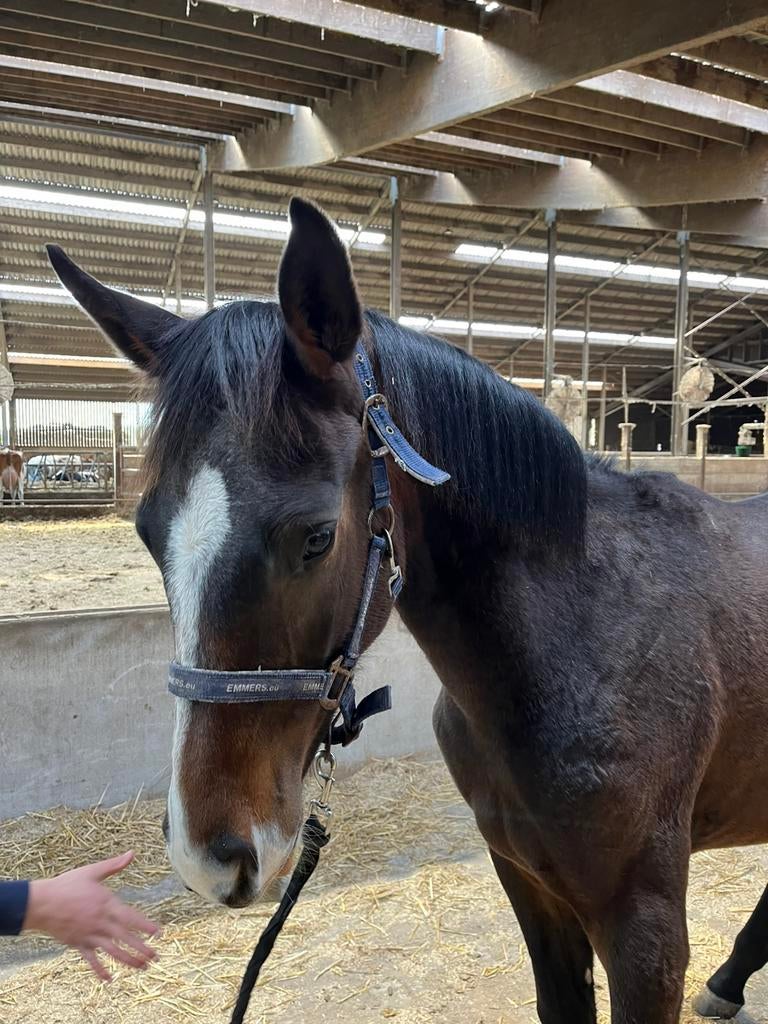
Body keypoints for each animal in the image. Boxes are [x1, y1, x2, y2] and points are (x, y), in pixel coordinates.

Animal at [47, 198, 768, 1024]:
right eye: (148, 530)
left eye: (317, 536)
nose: (208, 857)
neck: (587, 636)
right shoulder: (528, 881)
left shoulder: (643, 928)